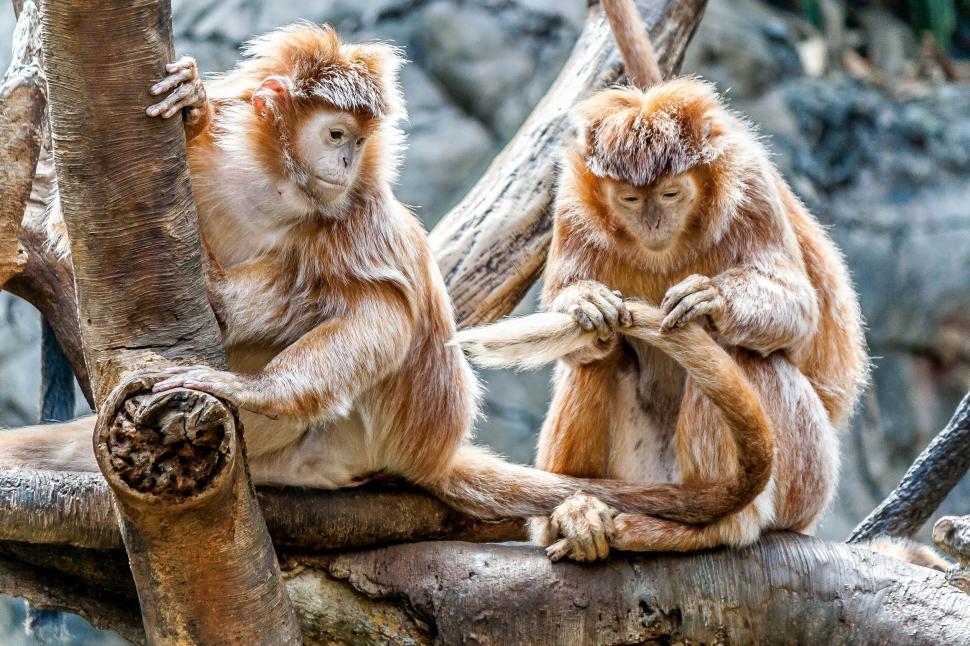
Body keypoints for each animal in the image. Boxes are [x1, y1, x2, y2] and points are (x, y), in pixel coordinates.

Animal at [0, 25, 781, 524]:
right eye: (335, 134)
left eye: (356, 139)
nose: (347, 160)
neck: (279, 185)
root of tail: (432, 451)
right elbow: (75, 225)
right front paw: (190, 109)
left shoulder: (356, 210)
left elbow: (382, 310)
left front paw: (250, 384)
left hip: (377, 425)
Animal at [456, 78, 868, 560]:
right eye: (630, 199)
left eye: (671, 193)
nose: (653, 221)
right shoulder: (571, 202)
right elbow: (579, 331)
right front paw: (584, 302)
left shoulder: (751, 186)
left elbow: (800, 311)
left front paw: (714, 300)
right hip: (639, 473)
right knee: (599, 360)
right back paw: (573, 513)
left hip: (808, 476)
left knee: (743, 354)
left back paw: (719, 523)